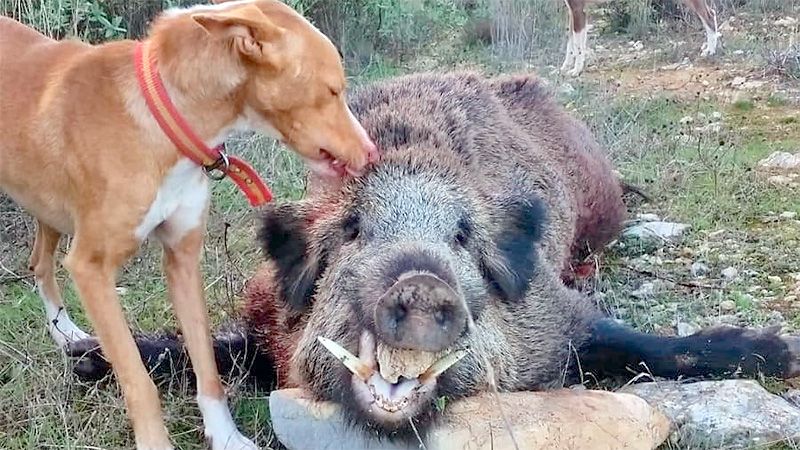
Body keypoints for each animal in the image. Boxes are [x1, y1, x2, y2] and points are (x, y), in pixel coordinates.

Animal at [0, 0, 378, 450]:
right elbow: (139, 382)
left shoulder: (182, 259)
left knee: (39, 263)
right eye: (333, 90)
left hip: (48, 206)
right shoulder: (91, 268)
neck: (163, 115)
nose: (372, 153)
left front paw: (227, 436)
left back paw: (68, 337)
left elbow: (207, 368)